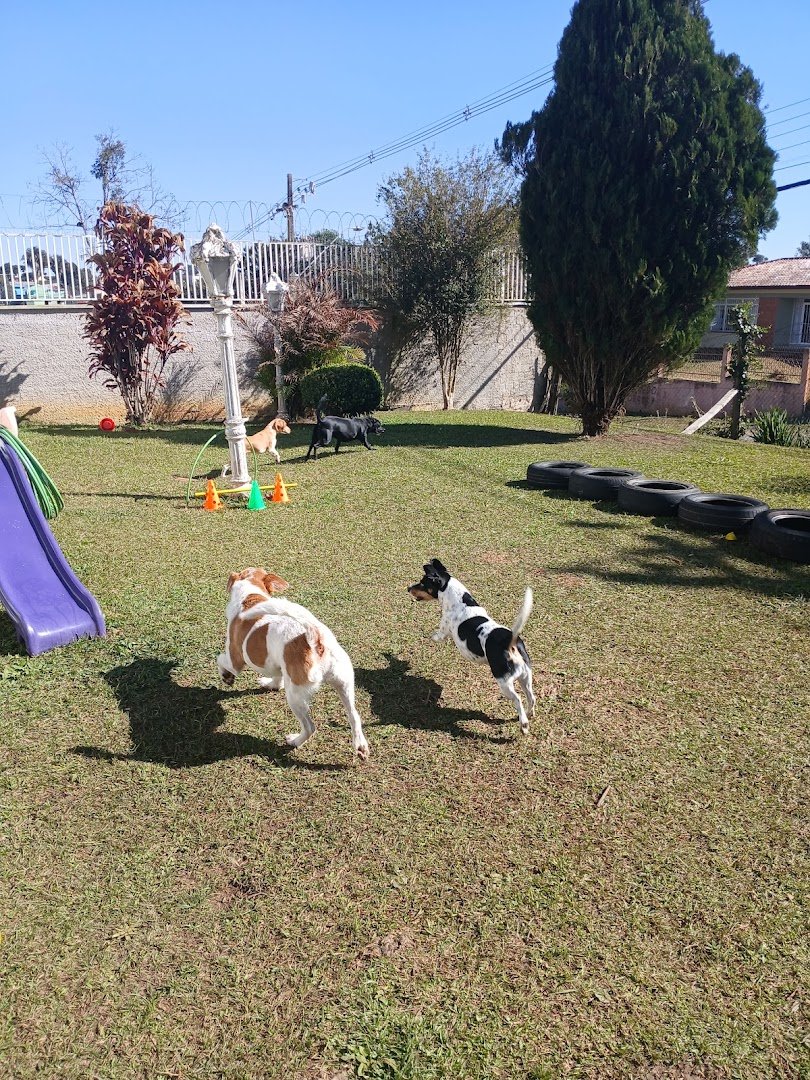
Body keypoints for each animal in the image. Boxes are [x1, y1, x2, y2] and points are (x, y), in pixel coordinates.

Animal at [217, 567, 369, 761]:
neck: (250, 595)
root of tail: (316, 639)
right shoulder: (277, 663)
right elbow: (277, 676)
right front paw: (271, 684)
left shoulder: (235, 658)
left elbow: (221, 660)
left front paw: (227, 677)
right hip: (344, 683)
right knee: (354, 715)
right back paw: (360, 746)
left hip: (295, 696)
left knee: (310, 727)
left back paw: (294, 741)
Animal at [408, 559, 536, 734]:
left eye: (422, 583)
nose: (408, 588)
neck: (461, 601)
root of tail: (509, 641)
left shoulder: (443, 632)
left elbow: (435, 636)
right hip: (526, 677)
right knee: (531, 697)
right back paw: (530, 714)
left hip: (504, 682)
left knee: (518, 700)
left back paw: (524, 724)